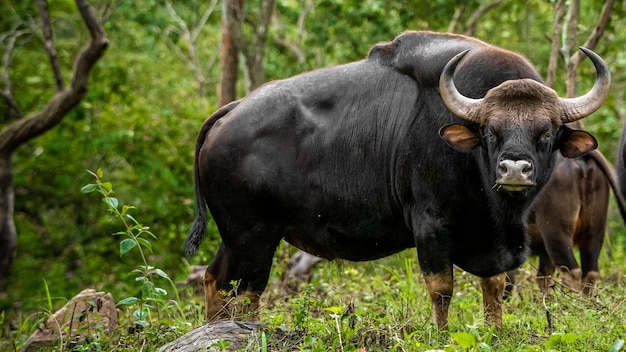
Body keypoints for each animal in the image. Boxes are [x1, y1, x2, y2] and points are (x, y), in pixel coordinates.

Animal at [182, 31, 608, 328]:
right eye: (491, 131)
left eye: (546, 132)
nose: (514, 169)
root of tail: (230, 111)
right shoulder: (431, 225)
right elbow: (441, 289)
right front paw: (441, 335)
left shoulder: (495, 238)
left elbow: (495, 288)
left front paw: (497, 333)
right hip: (253, 236)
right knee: (246, 292)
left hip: (240, 236)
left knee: (215, 280)